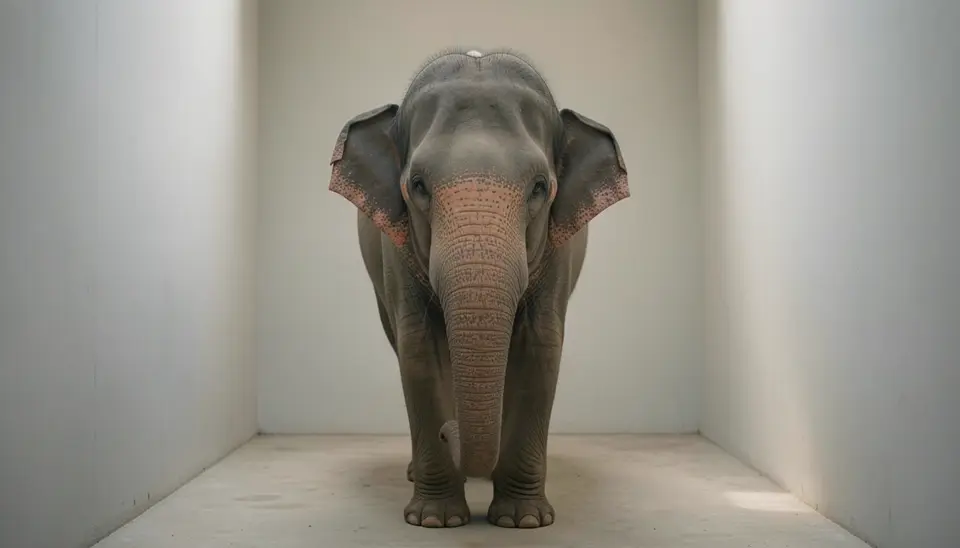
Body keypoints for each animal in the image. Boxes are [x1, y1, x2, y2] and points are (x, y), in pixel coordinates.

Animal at [327, 48, 630, 528]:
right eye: (417, 185)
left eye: (540, 188)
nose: (447, 433)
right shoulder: (396, 247)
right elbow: (419, 349)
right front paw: (435, 520)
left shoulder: (558, 251)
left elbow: (540, 346)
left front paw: (524, 520)